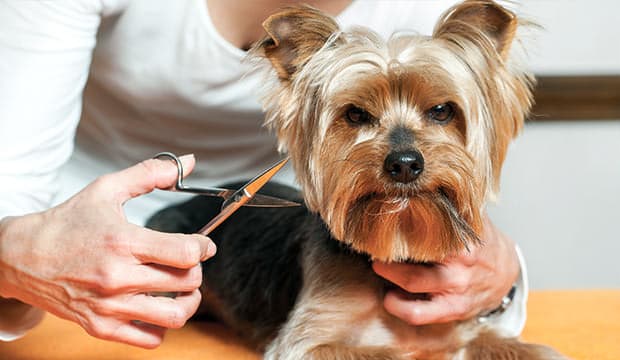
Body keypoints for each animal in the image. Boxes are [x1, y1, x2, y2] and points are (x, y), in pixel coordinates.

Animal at [149, 1, 568, 358]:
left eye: (441, 110)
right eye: (355, 114)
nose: (404, 163)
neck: (397, 240)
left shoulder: (461, 326)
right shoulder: (306, 344)